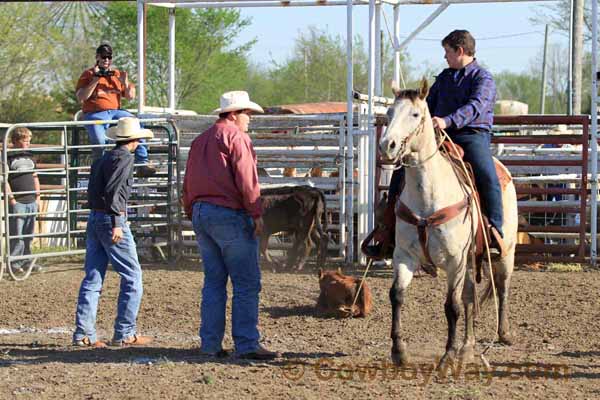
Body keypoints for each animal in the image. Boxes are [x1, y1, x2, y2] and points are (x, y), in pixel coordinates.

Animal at [378, 79, 516, 368]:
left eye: (415, 114)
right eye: (389, 113)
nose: (388, 146)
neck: (428, 194)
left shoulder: (455, 260)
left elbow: (451, 306)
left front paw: (448, 356)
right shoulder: (404, 255)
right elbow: (397, 295)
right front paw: (399, 351)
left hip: (505, 252)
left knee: (502, 287)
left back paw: (503, 333)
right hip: (471, 260)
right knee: (470, 298)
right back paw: (468, 347)